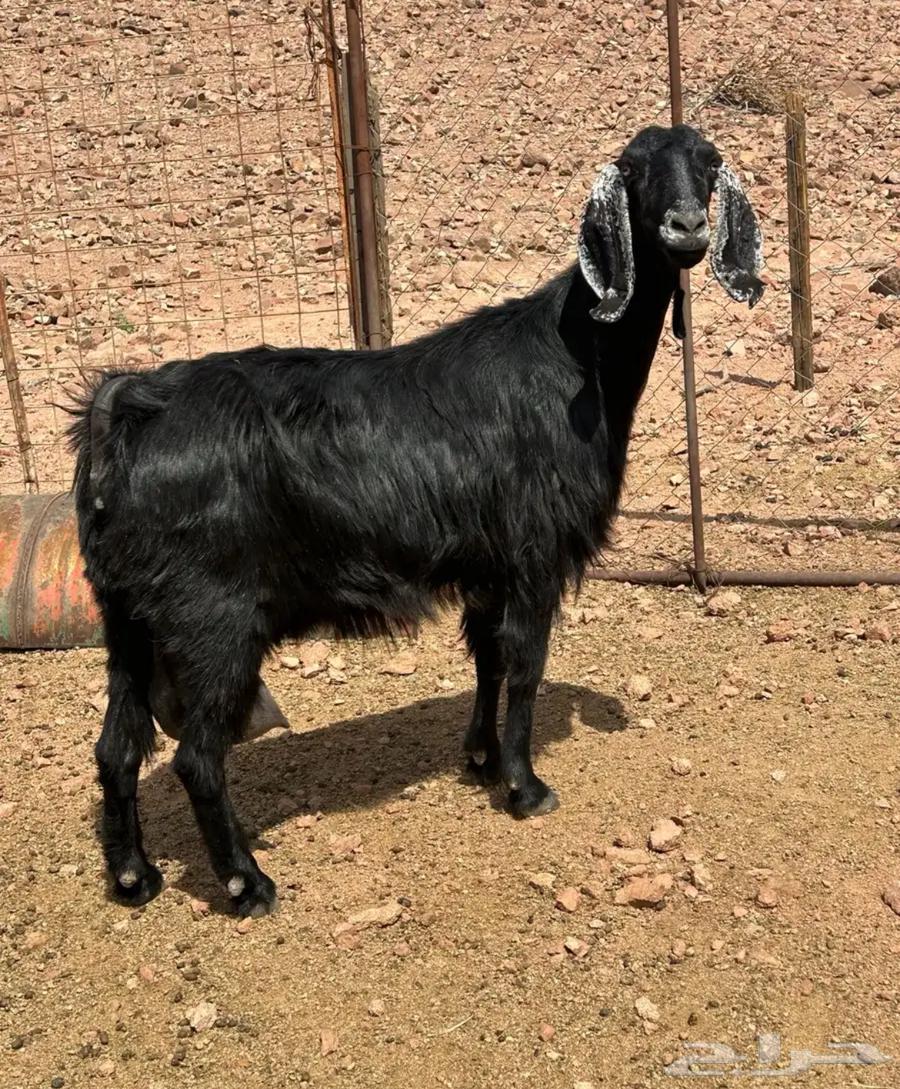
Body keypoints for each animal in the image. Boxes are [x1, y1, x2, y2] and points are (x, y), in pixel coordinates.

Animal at [70, 124, 763, 916]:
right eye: (635, 170)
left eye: (709, 166)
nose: (687, 228)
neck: (575, 361)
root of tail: (124, 409)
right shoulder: (531, 556)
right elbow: (525, 664)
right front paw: (525, 787)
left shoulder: (487, 566)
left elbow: (488, 658)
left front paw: (481, 758)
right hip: (211, 622)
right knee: (196, 757)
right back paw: (248, 883)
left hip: (126, 619)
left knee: (116, 746)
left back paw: (134, 877)